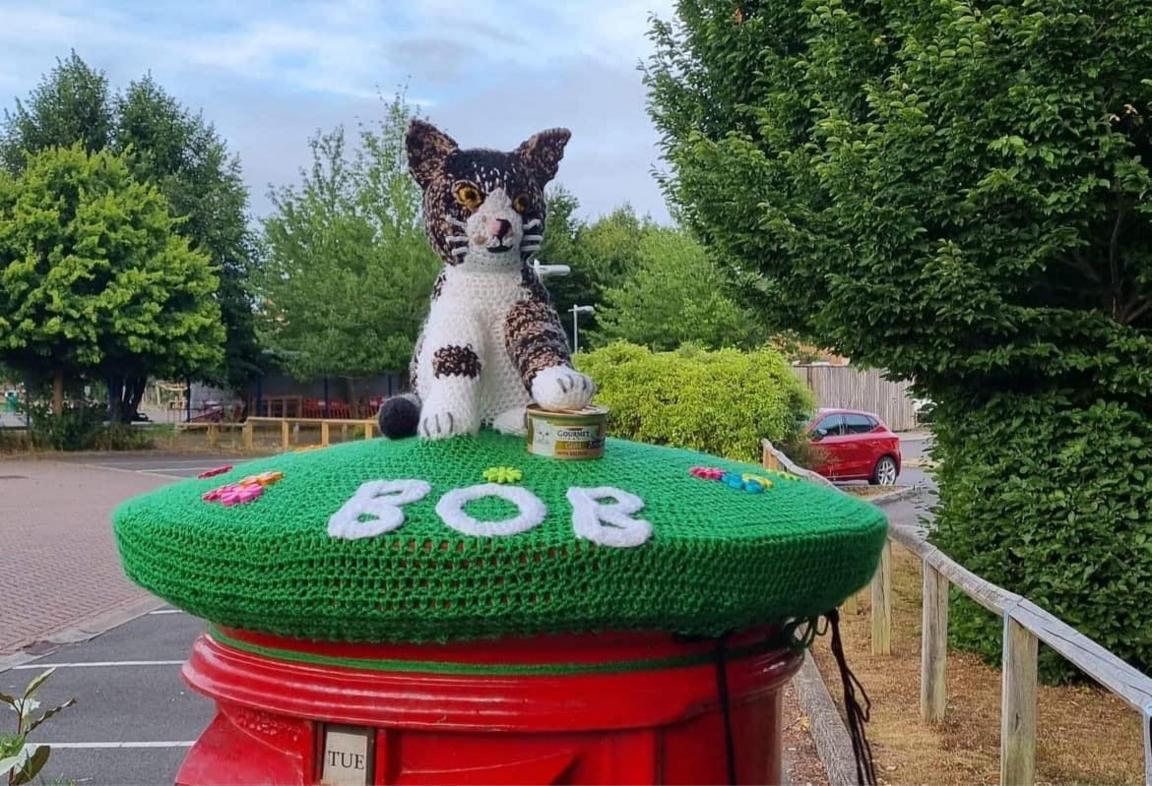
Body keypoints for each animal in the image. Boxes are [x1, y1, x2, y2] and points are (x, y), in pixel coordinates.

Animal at [377, 122, 594, 440]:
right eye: (468, 194)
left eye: (522, 201)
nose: (500, 224)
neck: (489, 278)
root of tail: (487, 418)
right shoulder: (454, 313)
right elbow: (455, 355)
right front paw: (446, 417)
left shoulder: (531, 303)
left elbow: (541, 339)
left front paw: (564, 381)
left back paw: (518, 419)